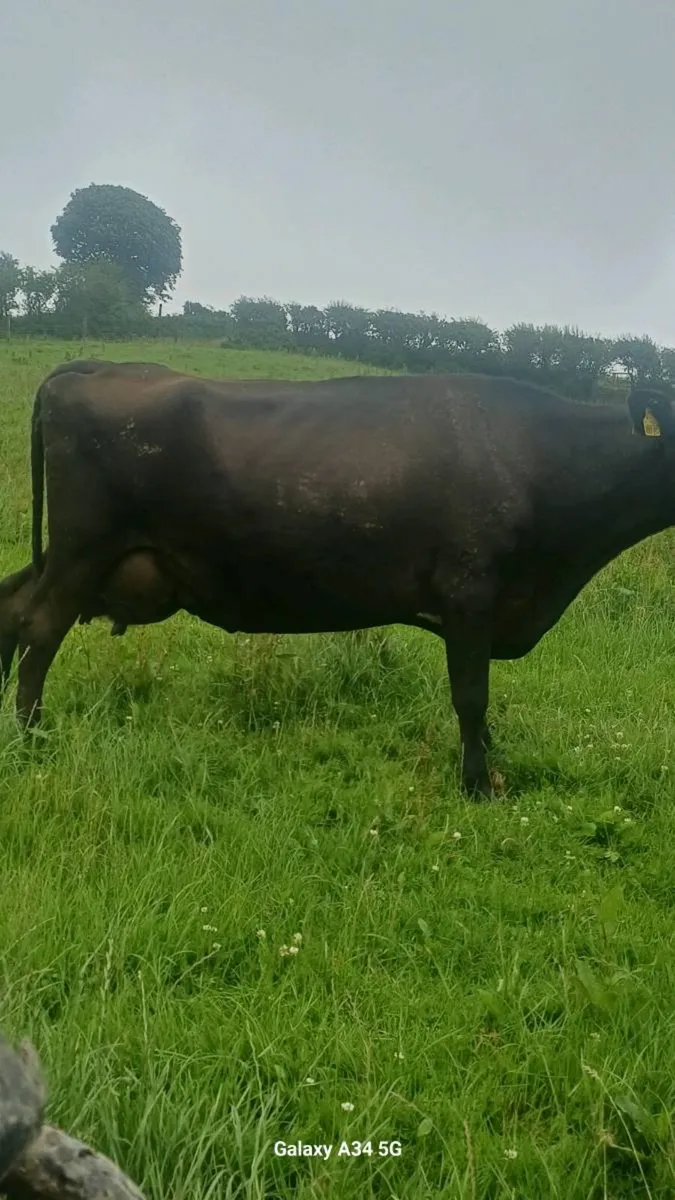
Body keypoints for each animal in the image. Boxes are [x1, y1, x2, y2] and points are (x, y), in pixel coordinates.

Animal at [2, 361, 674, 798]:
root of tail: (93, 370)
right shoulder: (469, 592)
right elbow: (471, 695)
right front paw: (478, 786)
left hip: (78, 557)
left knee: (13, 604)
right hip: (84, 546)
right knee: (41, 625)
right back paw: (33, 737)